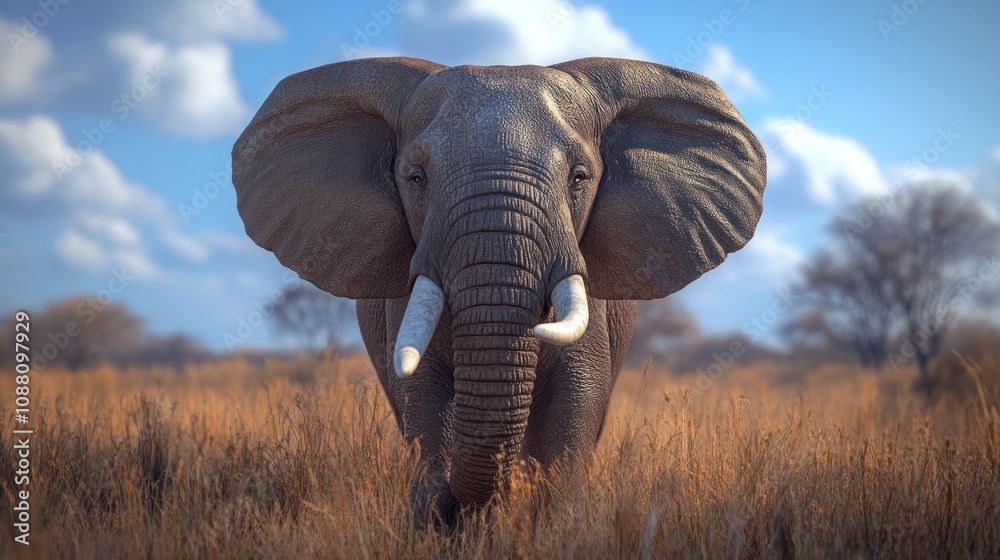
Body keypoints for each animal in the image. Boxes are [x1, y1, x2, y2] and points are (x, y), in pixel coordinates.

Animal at [231, 57, 766, 522]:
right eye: (416, 178)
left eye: (579, 177)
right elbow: (421, 393)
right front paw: (443, 519)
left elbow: (577, 392)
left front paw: (552, 524)